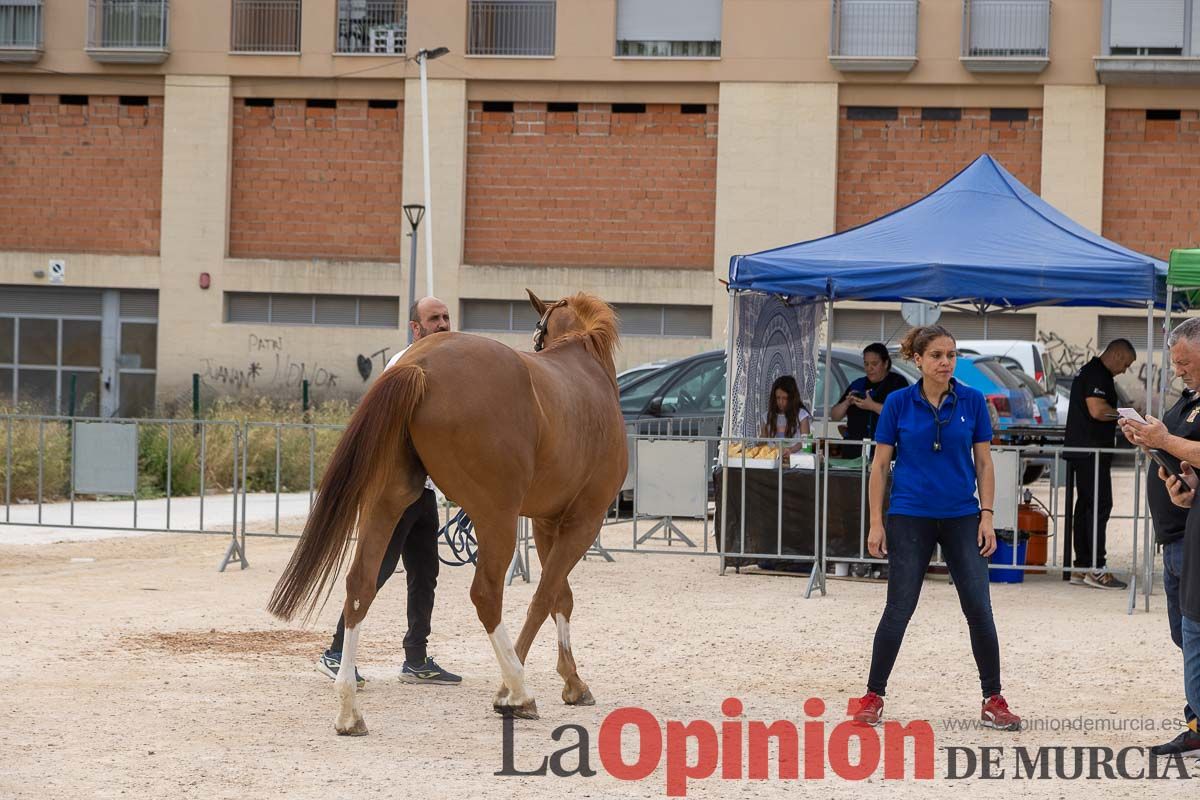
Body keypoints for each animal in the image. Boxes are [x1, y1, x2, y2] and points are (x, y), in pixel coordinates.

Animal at [267, 291, 628, 734]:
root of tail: (419, 364)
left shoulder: (548, 522)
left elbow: (561, 596)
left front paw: (573, 682)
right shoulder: (583, 521)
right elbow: (545, 597)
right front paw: (511, 690)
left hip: (387, 503)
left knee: (360, 586)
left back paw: (349, 710)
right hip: (496, 517)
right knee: (486, 595)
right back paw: (519, 692)